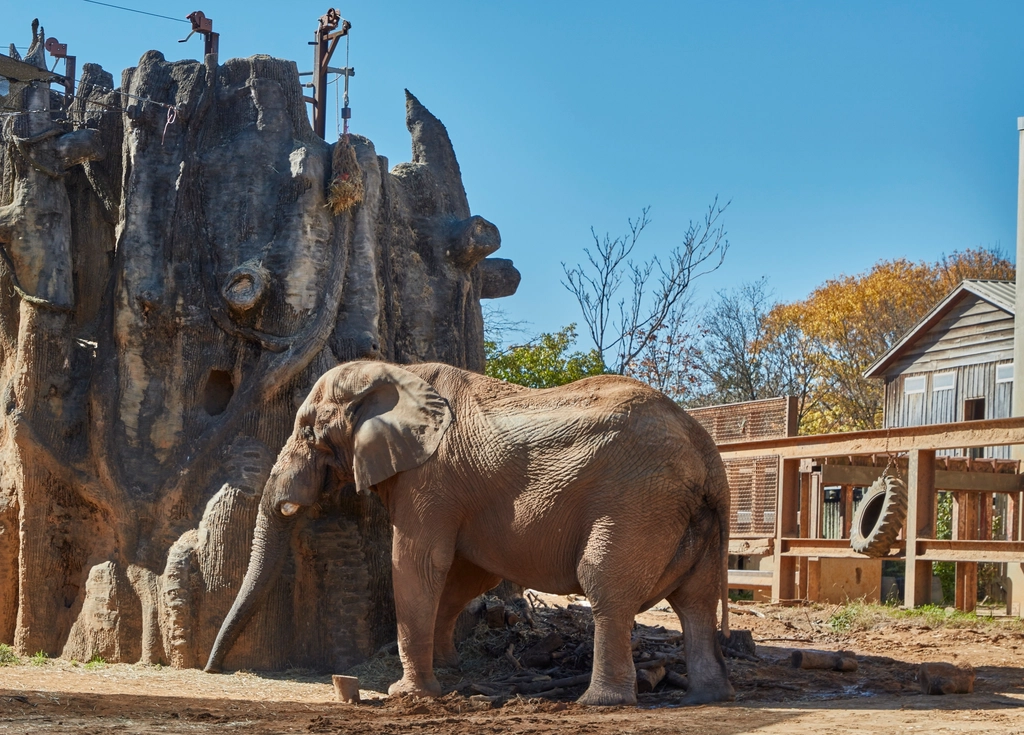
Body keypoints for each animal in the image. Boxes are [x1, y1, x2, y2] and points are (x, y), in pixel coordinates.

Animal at [205, 361, 734, 706]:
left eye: (307, 431)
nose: (212, 669)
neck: (397, 373)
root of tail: (705, 448)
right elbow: (466, 573)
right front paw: (450, 671)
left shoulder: (430, 476)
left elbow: (417, 562)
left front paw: (408, 693)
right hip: (688, 517)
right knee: (697, 600)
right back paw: (705, 696)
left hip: (635, 501)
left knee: (606, 585)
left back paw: (600, 703)